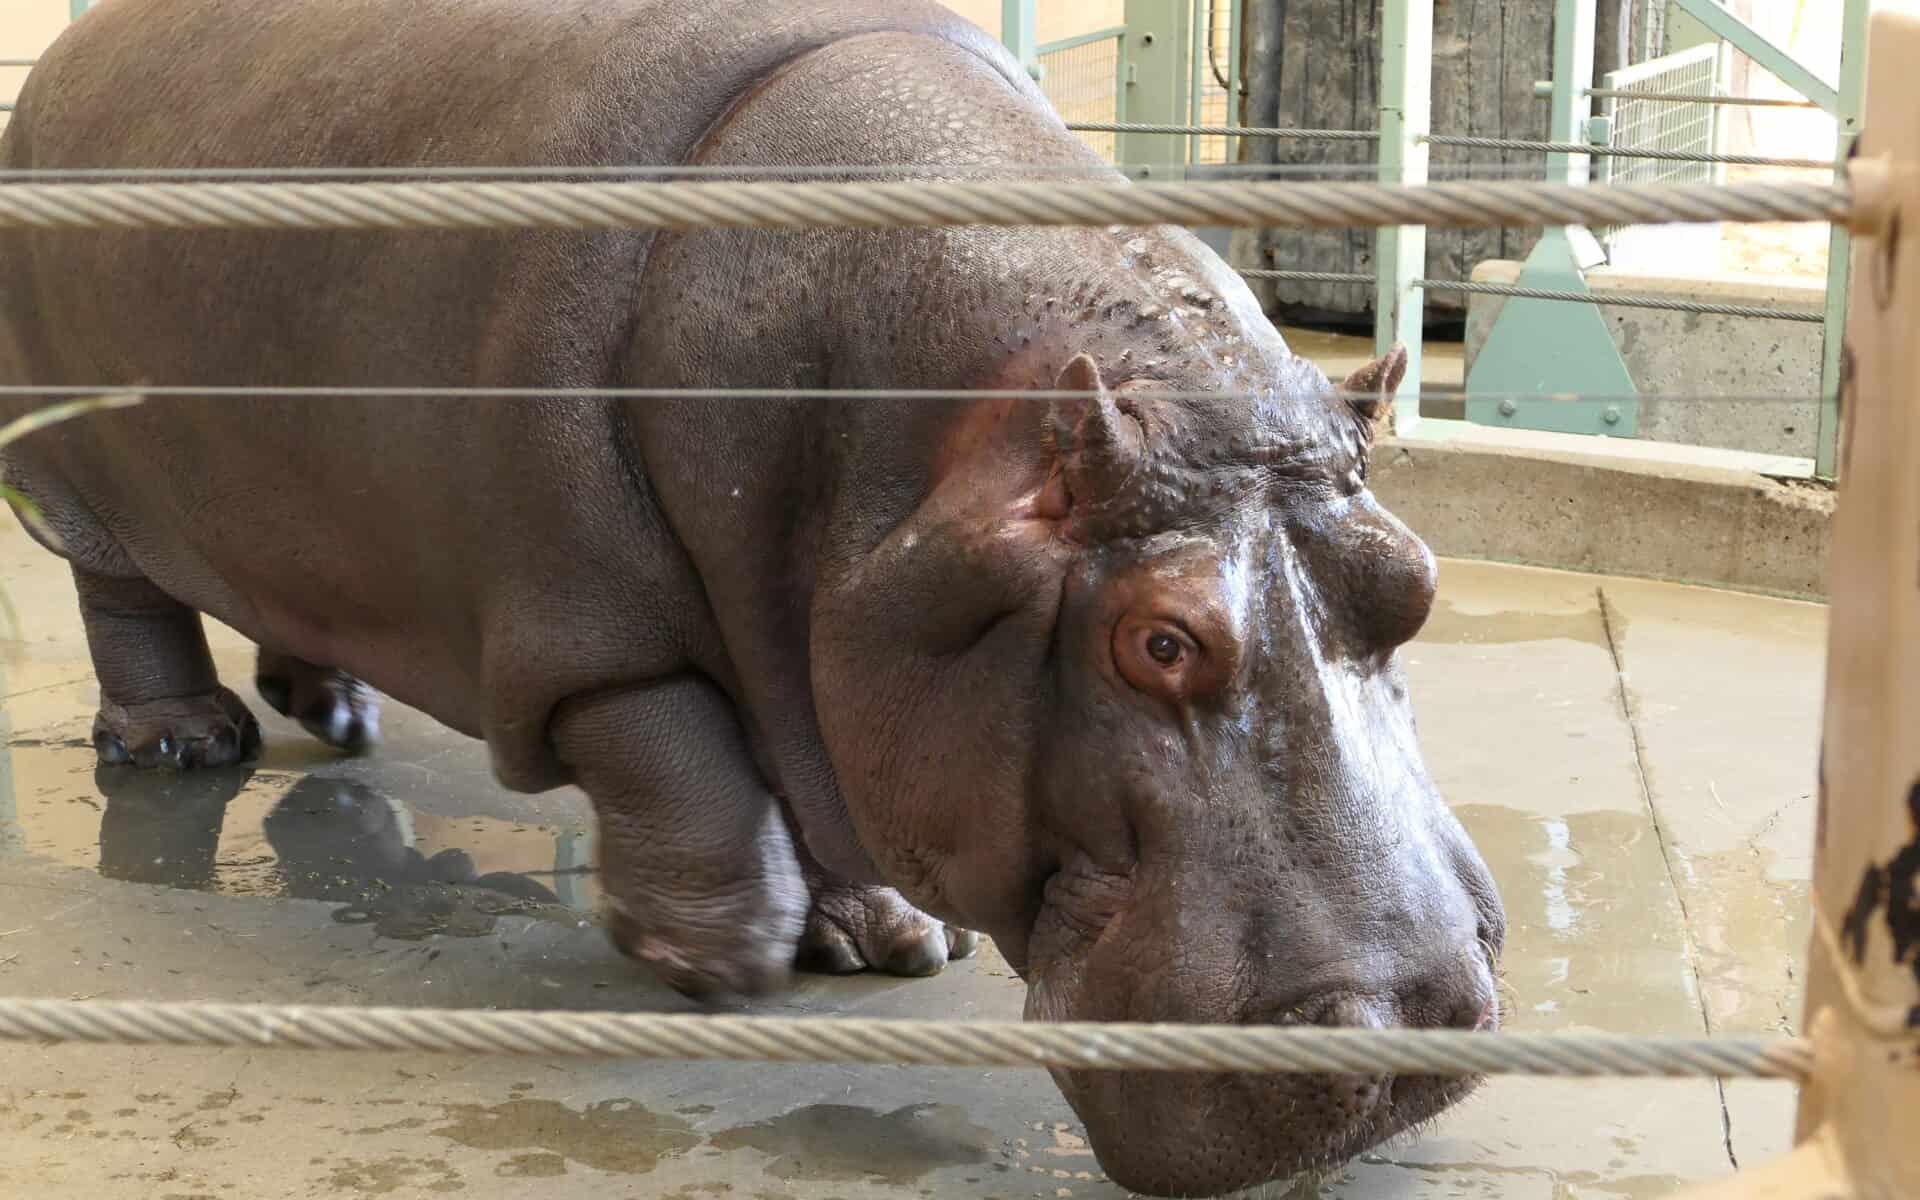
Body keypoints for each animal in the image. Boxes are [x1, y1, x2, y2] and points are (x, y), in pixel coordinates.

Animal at [0, 0, 1505, 1192]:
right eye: (1159, 640)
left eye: (1418, 582)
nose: (1412, 1030)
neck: (936, 428)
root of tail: (77, 44)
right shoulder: (592, 620)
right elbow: (680, 754)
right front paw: (722, 961)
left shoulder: (815, 629)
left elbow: (813, 767)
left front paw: (897, 944)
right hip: (79, 469)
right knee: (121, 598)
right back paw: (186, 747)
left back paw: (340, 716)